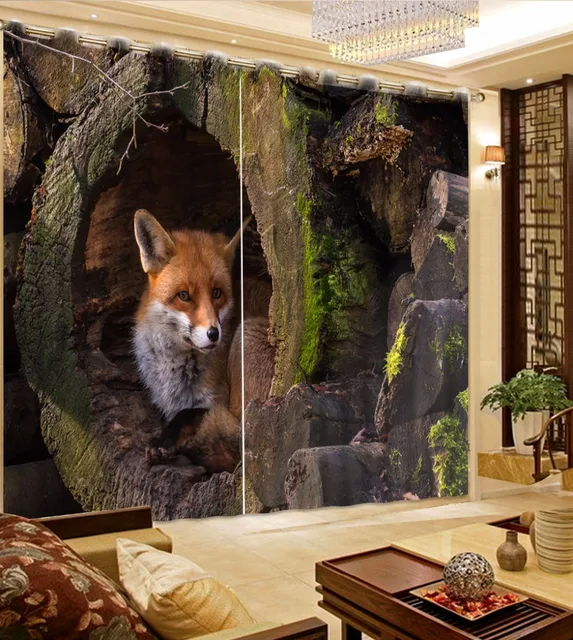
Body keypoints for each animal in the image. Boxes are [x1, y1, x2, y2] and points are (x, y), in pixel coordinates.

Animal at [132, 209, 275, 473]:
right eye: (184, 296)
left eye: (217, 293)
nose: (213, 334)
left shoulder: (216, 401)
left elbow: (187, 414)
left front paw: (163, 441)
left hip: (246, 335)